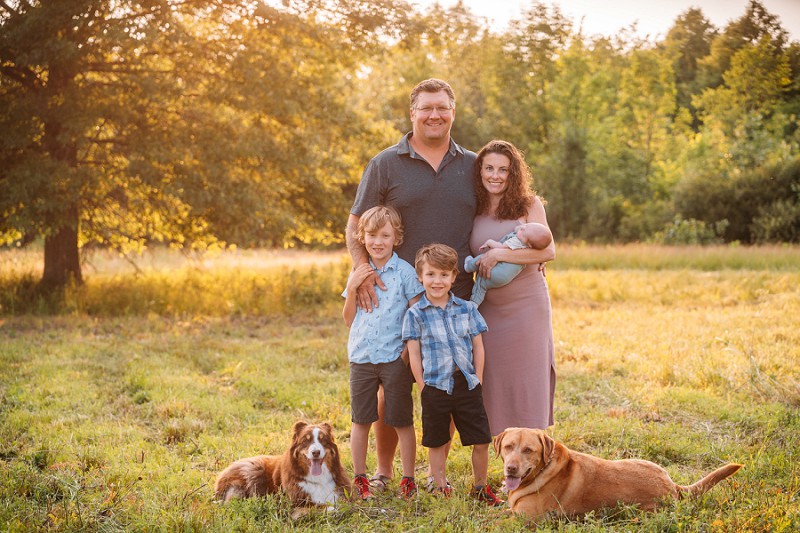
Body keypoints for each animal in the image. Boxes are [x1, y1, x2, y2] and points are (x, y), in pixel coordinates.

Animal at [216, 420, 350, 512]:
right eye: (305, 441)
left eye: (323, 440)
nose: (316, 452)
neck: (318, 480)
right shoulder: (296, 504)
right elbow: (323, 507)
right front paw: (333, 509)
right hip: (250, 470)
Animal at [494, 428, 744, 520]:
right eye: (508, 447)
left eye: (528, 450)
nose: (511, 468)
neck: (543, 471)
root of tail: (672, 485)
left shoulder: (527, 520)